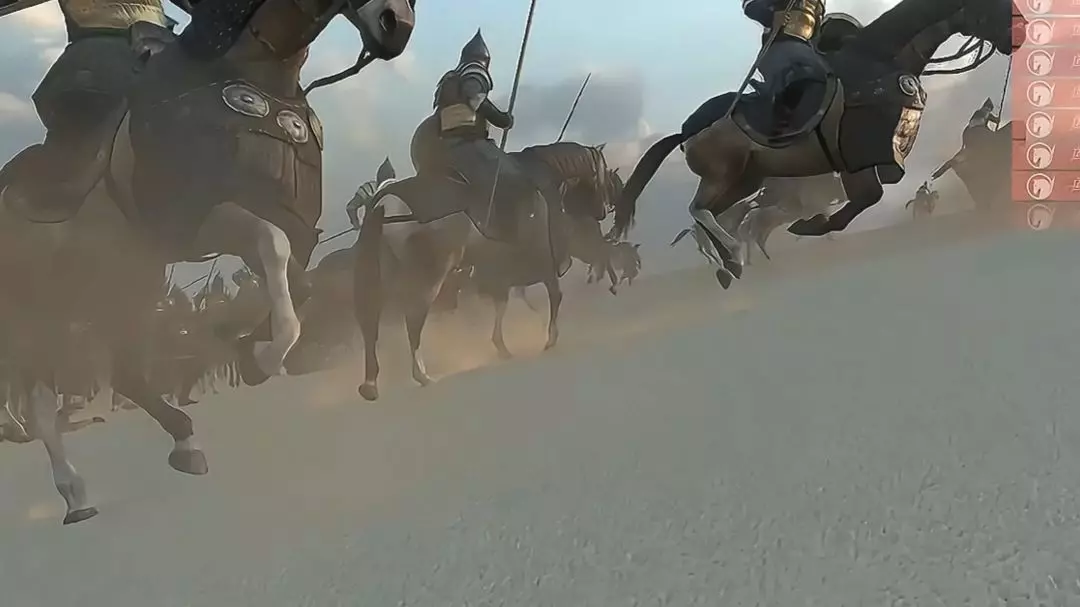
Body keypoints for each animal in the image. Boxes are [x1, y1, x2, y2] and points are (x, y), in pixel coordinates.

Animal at [0, 0, 415, 524]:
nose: (396, 24)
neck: (258, 74)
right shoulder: (201, 218)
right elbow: (273, 249)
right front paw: (263, 356)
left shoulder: (282, 223)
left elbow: (298, 284)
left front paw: (249, 350)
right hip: (40, 308)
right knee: (40, 398)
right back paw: (74, 490)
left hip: (126, 281)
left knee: (121, 371)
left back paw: (179, 444)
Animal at [613, 0, 1019, 288]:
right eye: (992, 6)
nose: (1016, 37)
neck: (876, 60)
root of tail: (685, 129)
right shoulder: (859, 155)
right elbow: (867, 197)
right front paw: (810, 225)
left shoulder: (865, 160)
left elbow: (865, 199)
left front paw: (812, 224)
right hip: (721, 175)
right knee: (700, 210)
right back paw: (734, 256)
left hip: (745, 180)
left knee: (716, 215)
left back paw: (729, 264)